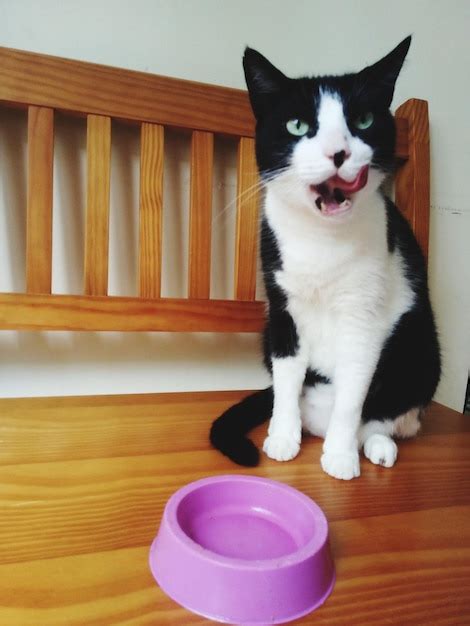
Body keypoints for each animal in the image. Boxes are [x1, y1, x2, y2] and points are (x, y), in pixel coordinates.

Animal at [209, 35, 440, 478]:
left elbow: (352, 396)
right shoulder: (282, 311)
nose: (338, 152)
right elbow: (286, 381)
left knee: (387, 416)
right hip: (268, 333)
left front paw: (340, 456)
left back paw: (375, 445)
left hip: (419, 346)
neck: (321, 240)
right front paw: (283, 438)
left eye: (363, 120)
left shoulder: (363, 316)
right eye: (298, 125)